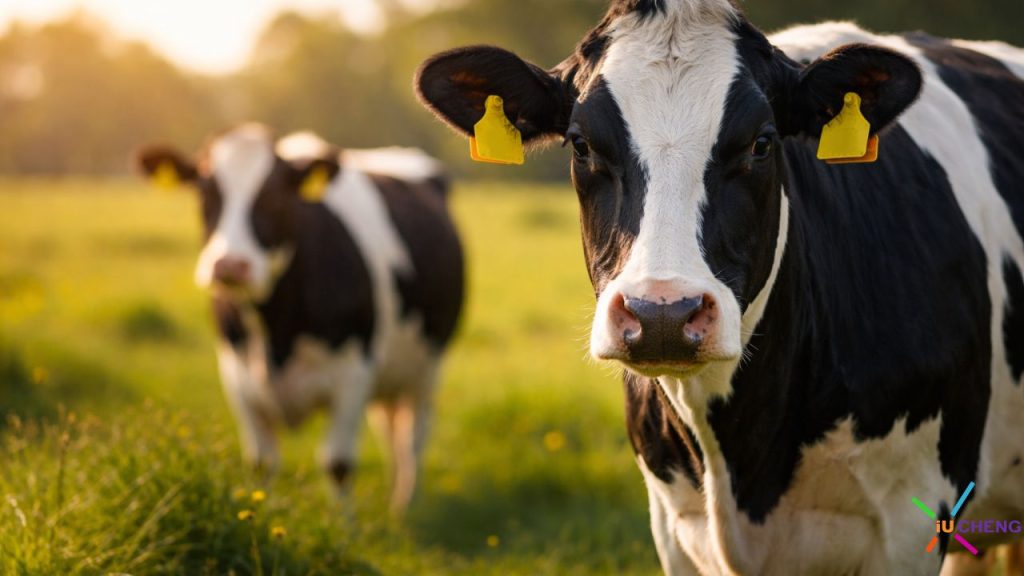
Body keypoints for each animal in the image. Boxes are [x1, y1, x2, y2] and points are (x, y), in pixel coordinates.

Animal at [136, 124, 464, 512]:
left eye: (276, 194)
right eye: (204, 190)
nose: (230, 265)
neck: (277, 332)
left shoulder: (353, 375)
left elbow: (338, 464)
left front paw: (342, 526)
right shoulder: (237, 377)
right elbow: (262, 464)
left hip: (429, 366)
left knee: (413, 437)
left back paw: (404, 507)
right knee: (391, 431)